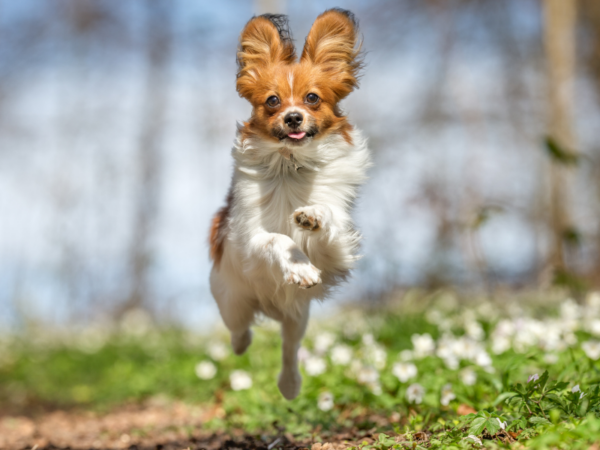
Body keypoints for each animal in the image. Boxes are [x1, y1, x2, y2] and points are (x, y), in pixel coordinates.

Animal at [210, 7, 370, 400]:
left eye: (312, 98)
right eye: (272, 101)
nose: (293, 117)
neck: (290, 164)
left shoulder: (337, 249)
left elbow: (326, 221)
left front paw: (311, 217)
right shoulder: (249, 240)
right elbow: (276, 239)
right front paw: (300, 268)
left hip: (298, 315)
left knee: (289, 346)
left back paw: (290, 384)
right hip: (232, 299)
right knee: (239, 330)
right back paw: (241, 345)